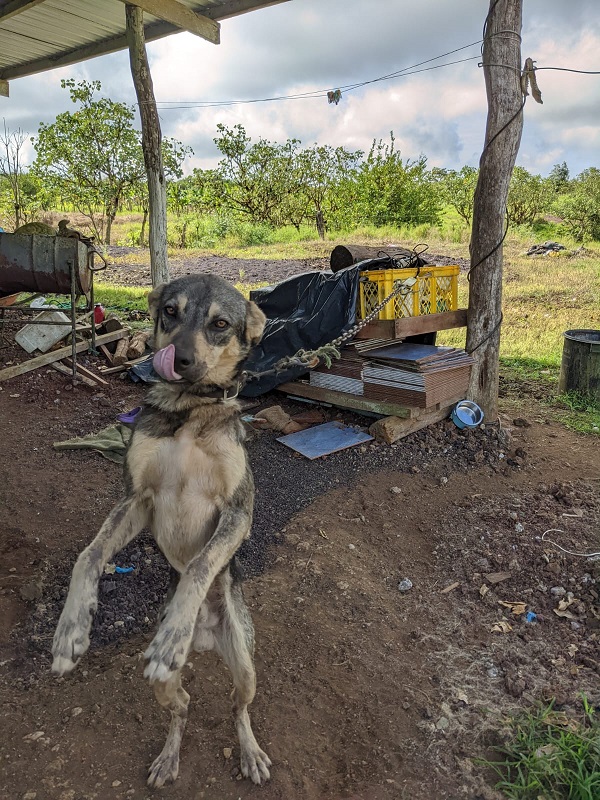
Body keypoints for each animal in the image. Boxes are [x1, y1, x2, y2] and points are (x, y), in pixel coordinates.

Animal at [51, 276, 272, 788]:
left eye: (220, 323)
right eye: (170, 311)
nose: (180, 360)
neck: (188, 409)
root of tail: (206, 637)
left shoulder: (238, 512)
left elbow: (200, 566)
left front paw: (173, 633)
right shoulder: (136, 500)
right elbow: (87, 556)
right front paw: (71, 629)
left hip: (245, 665)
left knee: (238, 708)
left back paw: (249, 751)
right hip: (161, 684)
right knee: (182, 707)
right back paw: (169, 756)